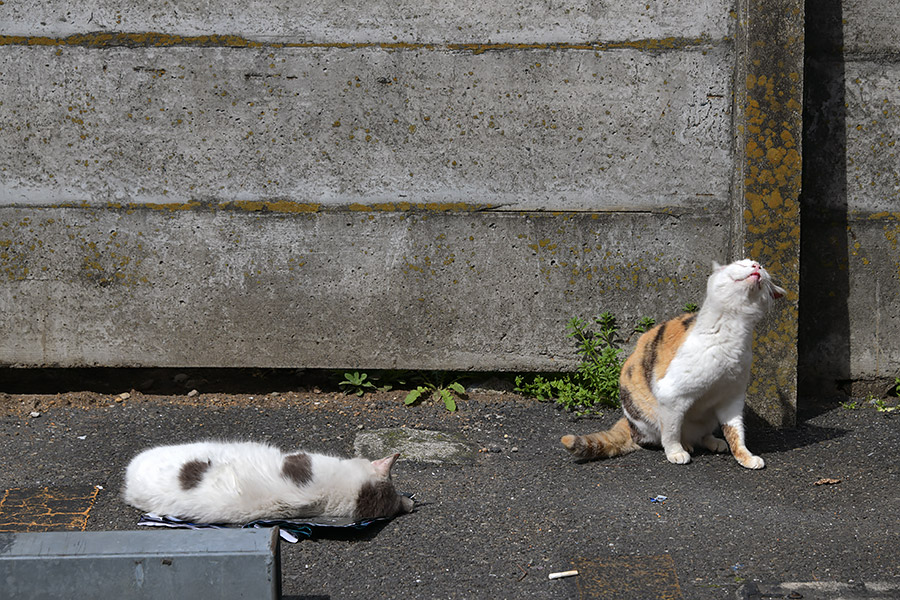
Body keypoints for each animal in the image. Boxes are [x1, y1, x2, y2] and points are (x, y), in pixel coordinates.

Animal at [560, 258, 784, 468]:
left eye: (763, 268)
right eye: (741, 264)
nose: (757, 266)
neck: (733, 328)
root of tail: (629, 423)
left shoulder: (731, 398)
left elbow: (736, 432)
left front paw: (745, 457)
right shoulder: (672, 396)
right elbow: (671, 431)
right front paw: (676, 452)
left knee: (703, 434)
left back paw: (713, 441)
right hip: (647, 412)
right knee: (660, 435)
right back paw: (685, 444)